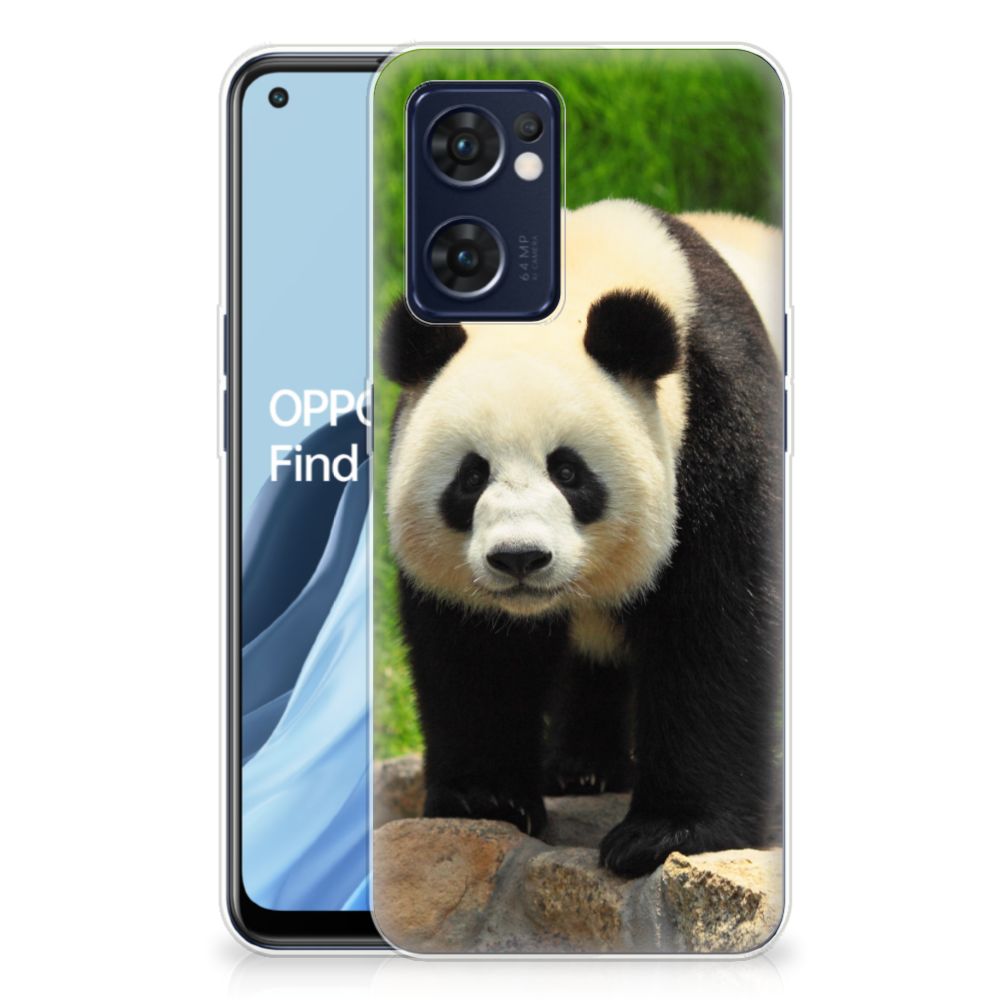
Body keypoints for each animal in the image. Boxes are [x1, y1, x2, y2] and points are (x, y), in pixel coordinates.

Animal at [379, 199, 784, 877]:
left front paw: (666, 833)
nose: (519, 558)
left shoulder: (719, 422)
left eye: (568, 472)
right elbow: (474, 650)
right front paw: (486, 799)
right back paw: (581, 769)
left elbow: (714, 625)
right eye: (471, 476)